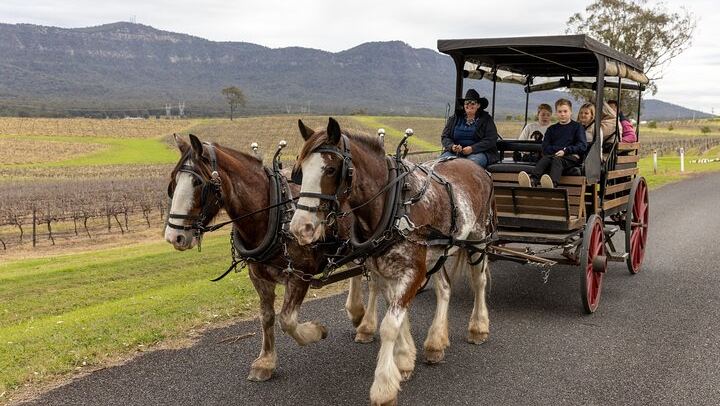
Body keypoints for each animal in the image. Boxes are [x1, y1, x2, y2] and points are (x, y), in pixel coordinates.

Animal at [163, 133, 378, 382]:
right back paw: (357, 313)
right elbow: (267, 317)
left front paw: (317, 331)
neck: (273, 211)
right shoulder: (259, 276)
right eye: (173, 181)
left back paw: (366, 326)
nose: (173, 237)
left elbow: (287, 320)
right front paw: (266, 362)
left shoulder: (300, 275)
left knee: (375, 282)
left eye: (198, 183)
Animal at [289, 118, 496, 406]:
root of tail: (475, 167)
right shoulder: (386, 269)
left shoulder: (413, 270)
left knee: (479, 282)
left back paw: (478, 327)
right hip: (438, 250)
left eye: (330, 169)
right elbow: (399, 315)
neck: (393, 203)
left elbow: (390, 325)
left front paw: (384, 386)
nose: (300, 228)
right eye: (300, 170)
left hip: (478, 239)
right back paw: (436, 342)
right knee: (444, 288)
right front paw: (404, 359)